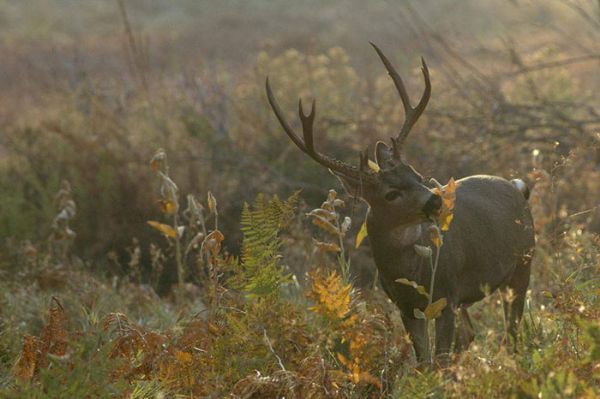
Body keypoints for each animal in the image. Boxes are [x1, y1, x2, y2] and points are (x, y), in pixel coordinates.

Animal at [264, 43, 536, 366]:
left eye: (418, 176)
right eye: (391, 193)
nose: (435, 200)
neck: (409, 270)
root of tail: (518, 187)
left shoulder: (446, 295)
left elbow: (439, 359)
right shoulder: (407, 308)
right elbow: (425, 362)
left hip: (523, 265)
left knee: (512, 332)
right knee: (471, 335)